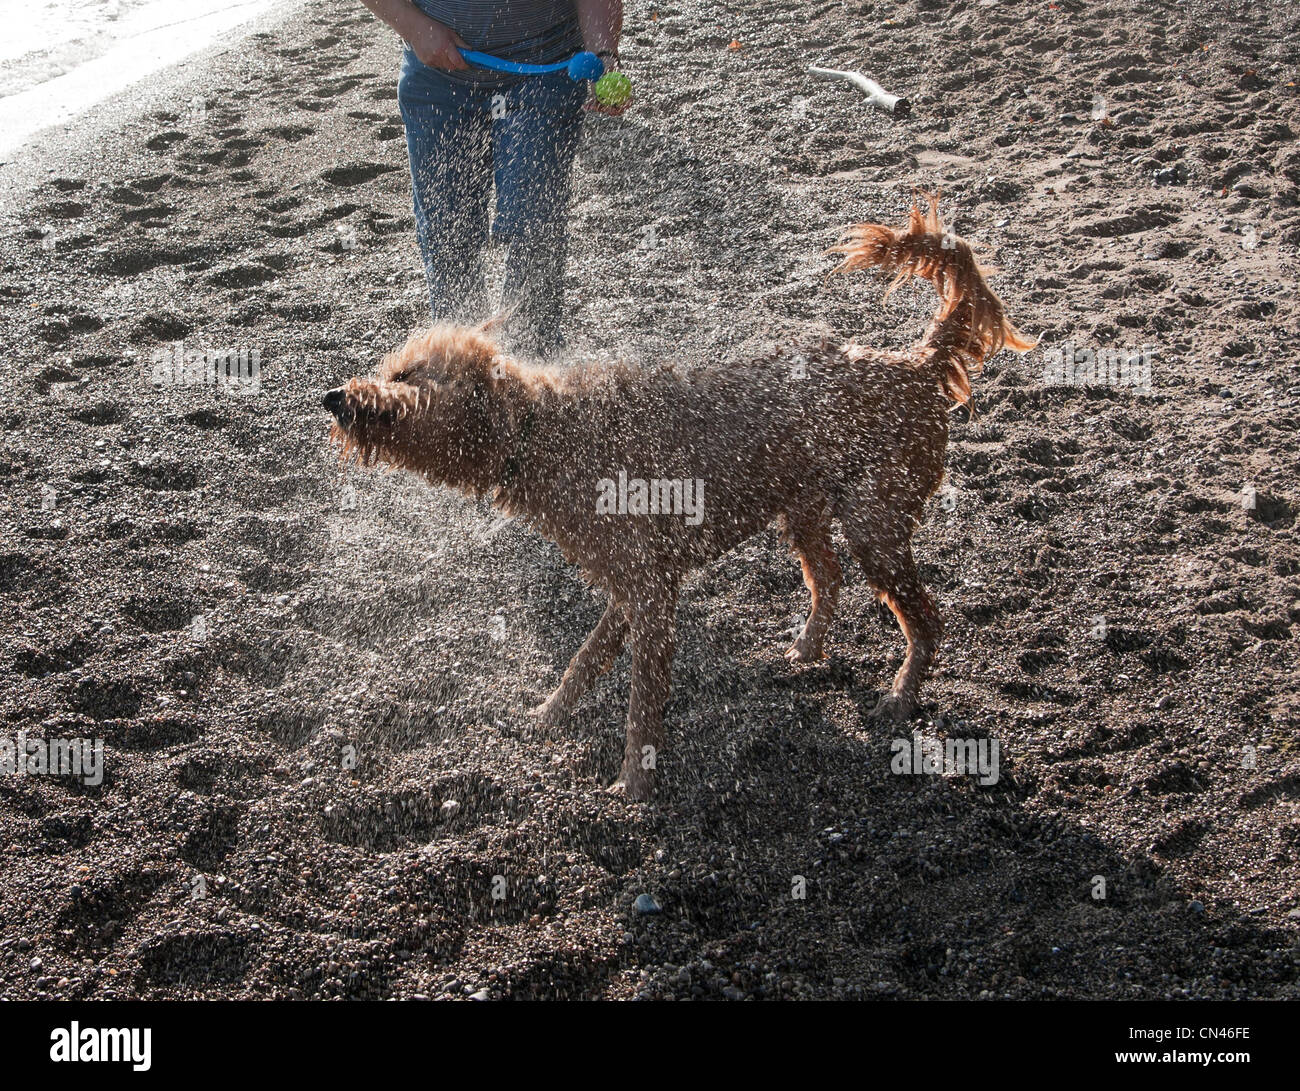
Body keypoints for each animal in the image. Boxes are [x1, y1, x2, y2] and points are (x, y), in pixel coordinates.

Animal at [327, 198, 1034, 801]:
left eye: (408, 376)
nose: (334, 397)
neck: (542, 433)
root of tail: (916, 364)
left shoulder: (649, 592)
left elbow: (642, 701)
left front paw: (635, 784)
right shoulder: (632, 587)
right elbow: (584, 660)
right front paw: (549, 715)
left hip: (875, 525)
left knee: (925, 619)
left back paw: (900, 695)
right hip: (803, 509)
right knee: (828, 578)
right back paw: (806, 651)